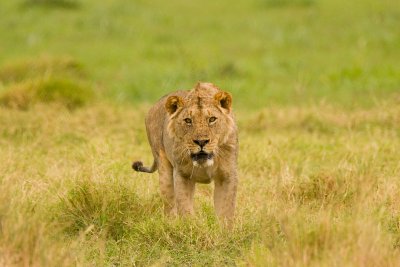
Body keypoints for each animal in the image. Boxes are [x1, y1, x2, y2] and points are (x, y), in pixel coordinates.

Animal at [133, 82, 238, 224]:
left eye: (212, 119)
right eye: (188, 120)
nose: (201, 142)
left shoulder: (227, 176)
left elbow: (226, 213)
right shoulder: (182, 175)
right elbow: (185, 210)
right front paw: (191, 229)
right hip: (163, 167)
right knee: (169, 206)